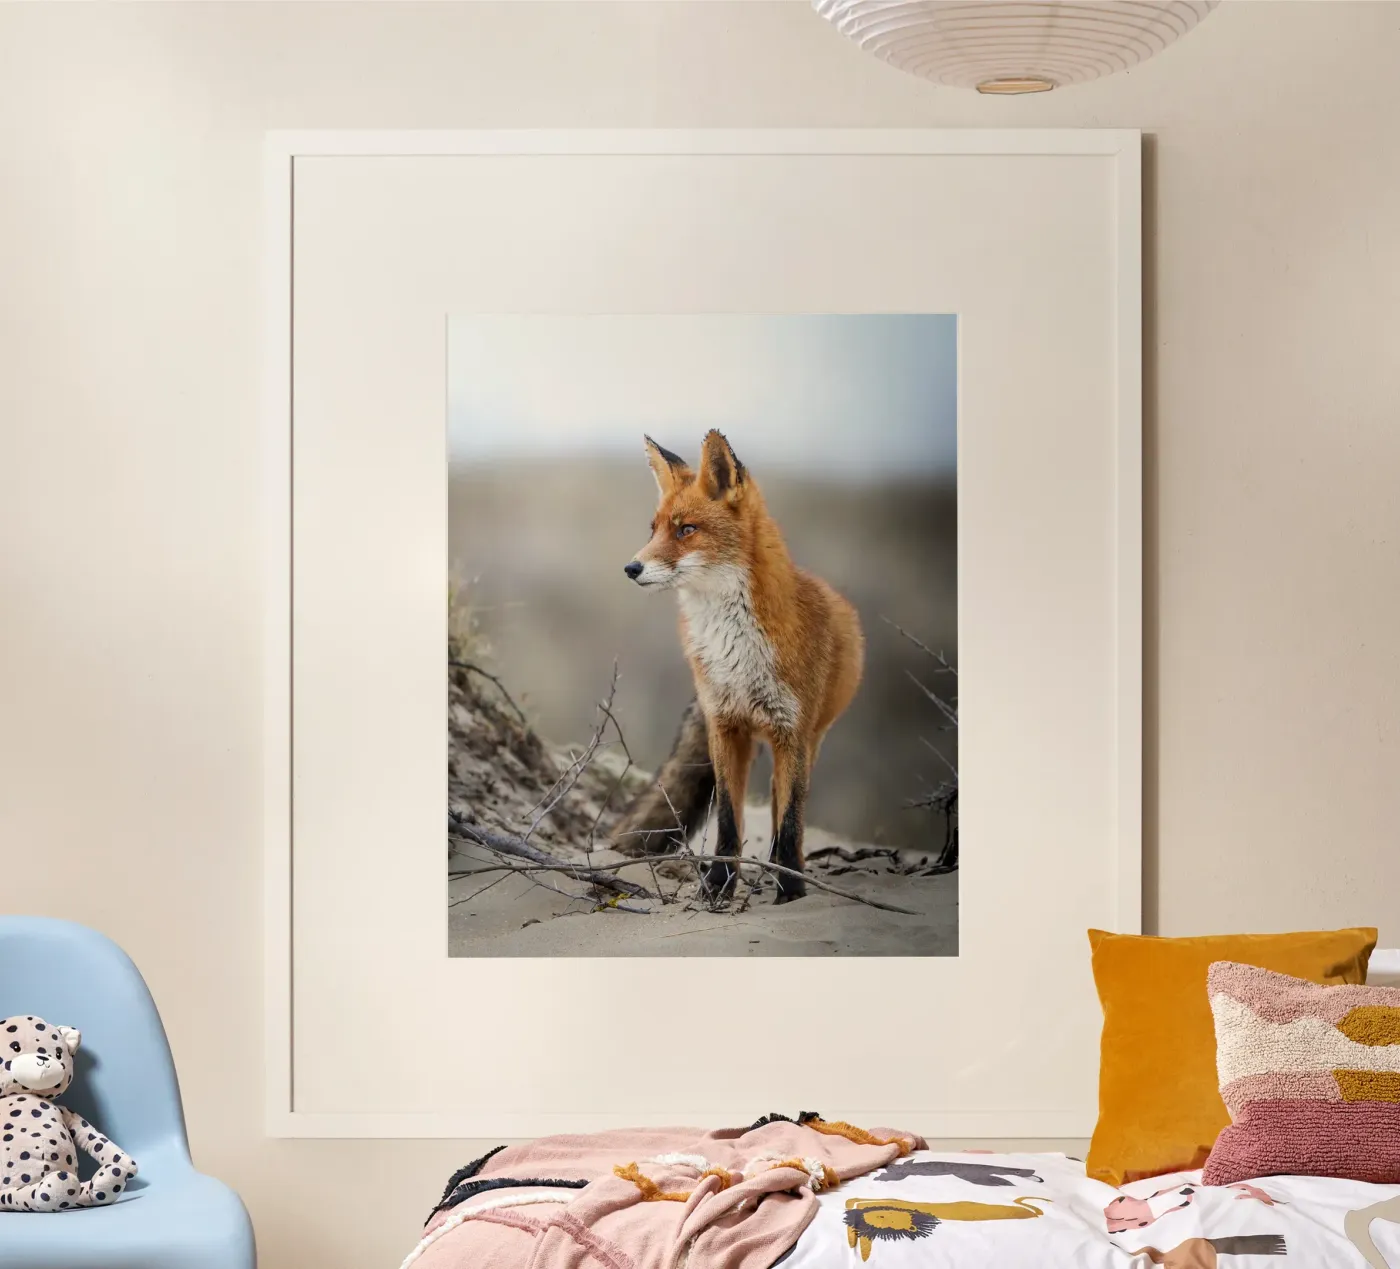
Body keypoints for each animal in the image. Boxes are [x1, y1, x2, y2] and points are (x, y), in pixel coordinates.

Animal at [623, 429, 865, 904]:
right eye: (654, 529)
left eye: (687, 530)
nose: (631, 567)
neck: (735, 650)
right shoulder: (725, 726)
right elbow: (728, 822)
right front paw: (718, 884)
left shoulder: (792, 731)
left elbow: (790, 822)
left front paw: (791, 890)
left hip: (808, 742)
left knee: (783, 809)